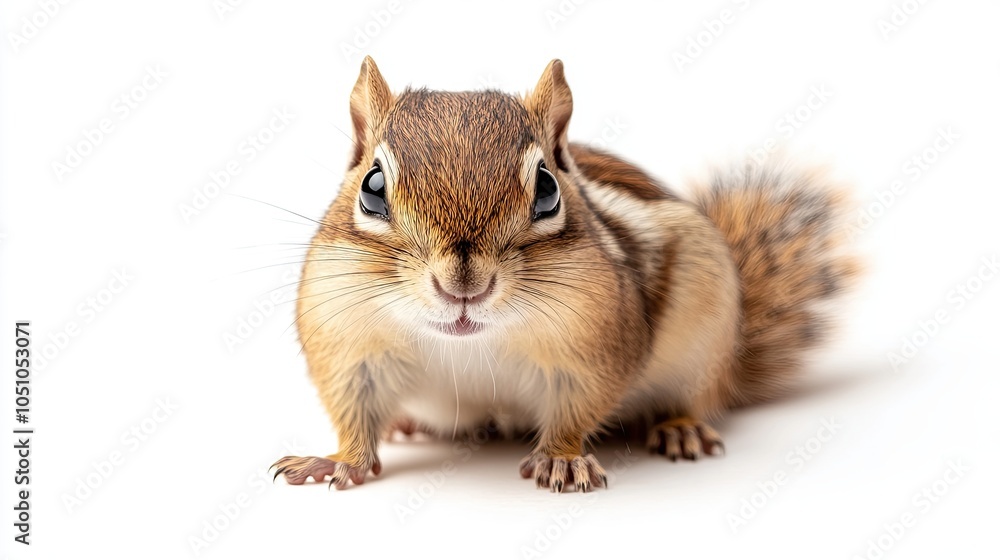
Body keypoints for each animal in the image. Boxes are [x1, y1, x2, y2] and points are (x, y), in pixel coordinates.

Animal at [272, 57, 859, 492]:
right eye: (372, 188)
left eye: (548, 189)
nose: (463, 286)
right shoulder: (348, 349)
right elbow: (352, 414)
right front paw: (337, 461)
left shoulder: (593, 352)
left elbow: (576, 410)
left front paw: (561, 459)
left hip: (704, 340)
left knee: (698, 397)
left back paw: (681, 428)